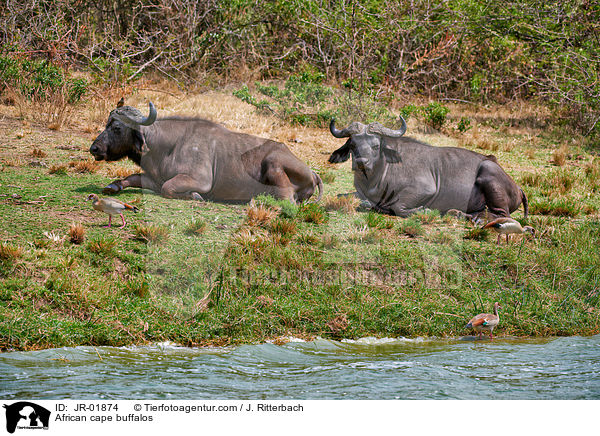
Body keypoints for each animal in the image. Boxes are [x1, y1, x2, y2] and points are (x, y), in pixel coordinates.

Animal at [88, 102, 324, 203]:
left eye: (117, 128)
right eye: (107, 123)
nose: (94, 148)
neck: (168, 146)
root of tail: (312, 172)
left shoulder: (199, 180)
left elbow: (168, 188)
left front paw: (194, 196)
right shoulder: (152, 179)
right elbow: (132, 177)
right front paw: (112, 186)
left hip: (273, 164)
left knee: (287, 198)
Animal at [328, 116, 528, 221]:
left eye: (376, 145)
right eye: (353, 144)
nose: (362, 162)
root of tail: (517, 187)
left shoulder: (424, 189)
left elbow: (398, 206)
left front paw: (422, 210)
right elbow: (346, 197)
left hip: (488, 173)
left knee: (502, 215)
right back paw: (458, 213)